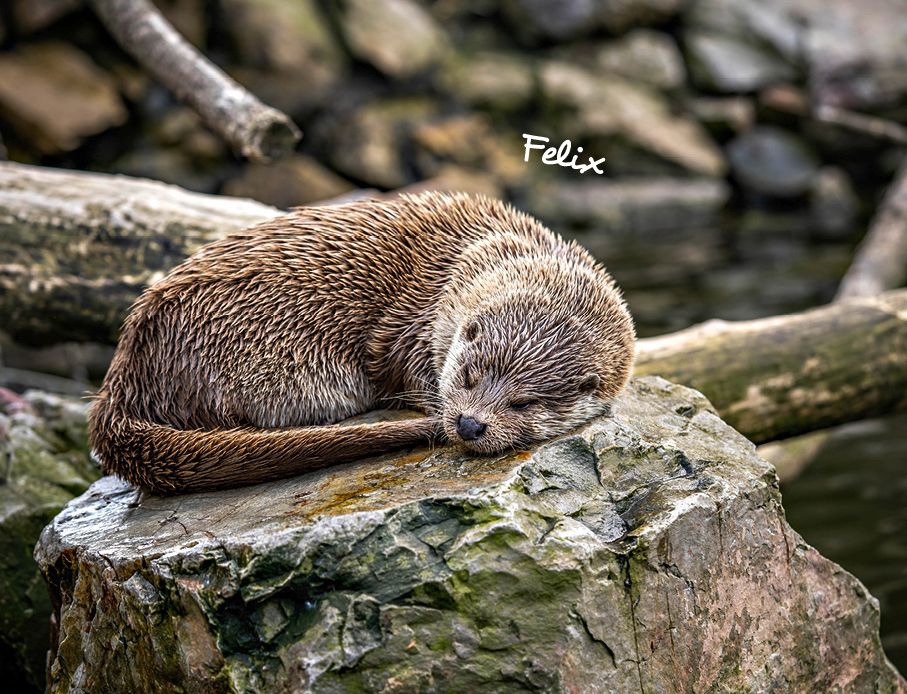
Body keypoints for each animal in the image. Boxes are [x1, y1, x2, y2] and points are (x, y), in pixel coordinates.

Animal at [89, 193, 635, 494]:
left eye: (523, 403)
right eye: (467, 375)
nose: (469, 424)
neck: (473, 255)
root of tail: (127, 370)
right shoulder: (410, 321)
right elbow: (400, 366)